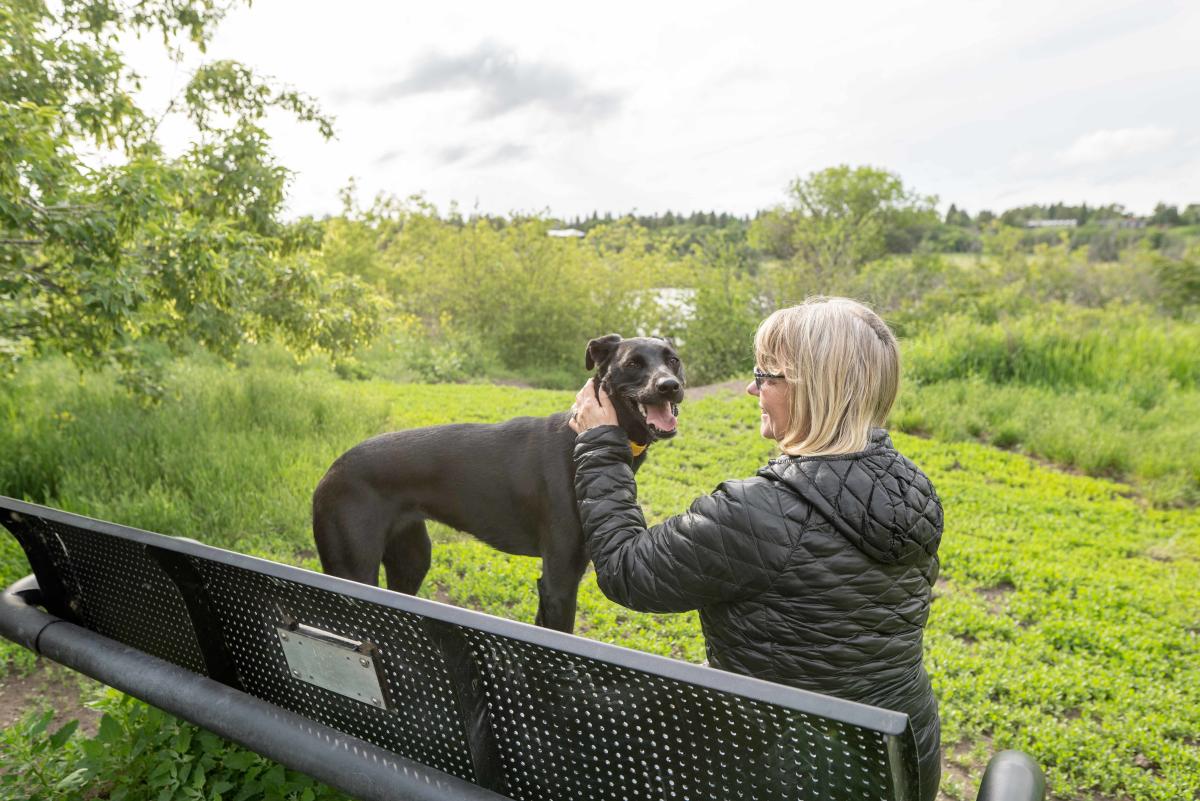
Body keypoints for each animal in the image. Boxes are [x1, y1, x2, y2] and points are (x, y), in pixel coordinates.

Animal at [309, 333, 686, 633]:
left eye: (673, 360)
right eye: (633, 363)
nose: (670, 386)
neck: (581, 436)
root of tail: (332, 470)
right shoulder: (560, 581)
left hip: (411, 560)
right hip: (354, 572)